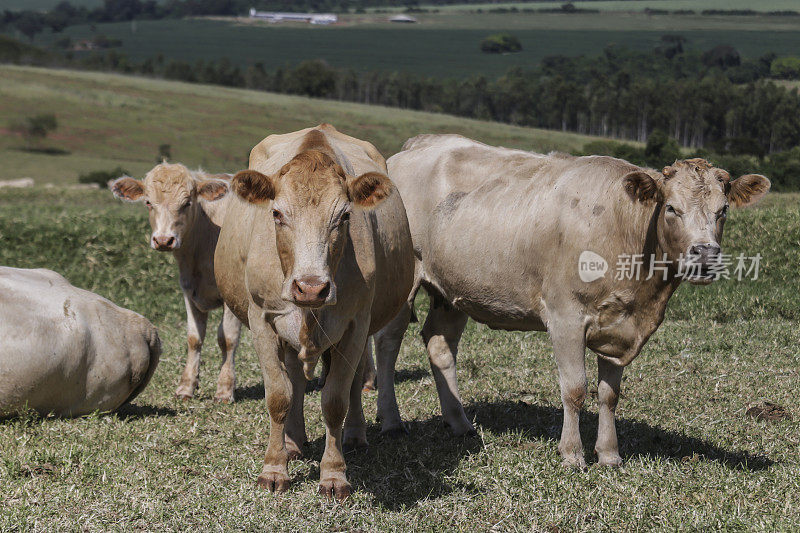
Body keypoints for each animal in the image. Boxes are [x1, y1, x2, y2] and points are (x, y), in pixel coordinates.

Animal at [109, 163, 242, 404]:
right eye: (148, 202)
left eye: (187, 203)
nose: (163, 240)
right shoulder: (189, 291)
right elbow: (194, 338)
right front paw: (186, 387)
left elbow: (228, 339)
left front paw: (225, 390)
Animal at [214, 124, 412, 498]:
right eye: (277, 214)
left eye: (345, 216)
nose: (310, 287)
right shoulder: (261, 319)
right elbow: (279, 396)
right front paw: (274, 469)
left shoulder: (355, 324)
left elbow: (335, 400)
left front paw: (334, 474)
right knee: (293, 377)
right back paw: (293, 442)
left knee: (353, 381)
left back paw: (354, 436)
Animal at [378, 135, 772, 468]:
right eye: (672, 209)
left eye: (723, 210)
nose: (705, 254)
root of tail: (413, 147)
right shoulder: (565, 316)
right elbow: (575, 389)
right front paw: (571, 454)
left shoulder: (620, 324)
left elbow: (609, 394)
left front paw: (609, 455)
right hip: (404, 281)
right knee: (387, 344)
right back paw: (392, 421)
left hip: (452, 289)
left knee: (440, 345)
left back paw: (460, 423)